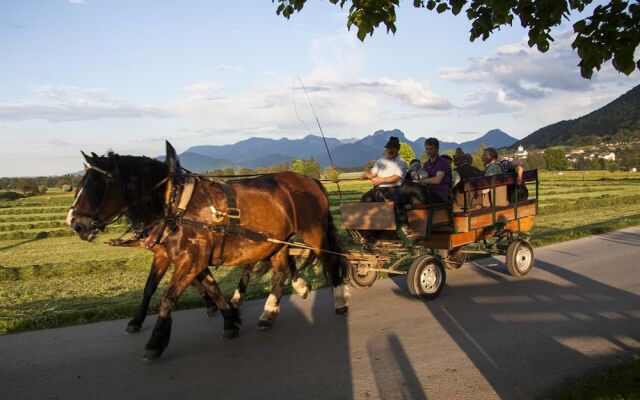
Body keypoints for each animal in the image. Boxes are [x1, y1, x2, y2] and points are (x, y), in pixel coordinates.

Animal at [67, 147, 348, 360]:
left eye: (94, 186)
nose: (75, 223)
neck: (173, 204)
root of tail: (309, 180)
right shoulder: (178, 257)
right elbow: (202, 287)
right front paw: (230, 318)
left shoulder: (191, 259)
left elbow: (168, 297)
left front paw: (156, 341)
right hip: (277, 242)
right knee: (280, 272)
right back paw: (268, 313)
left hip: (313, 233)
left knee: (331, 261)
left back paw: (340, 302)